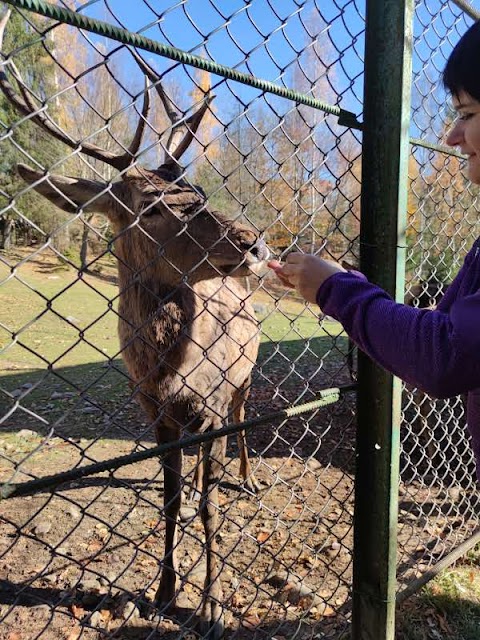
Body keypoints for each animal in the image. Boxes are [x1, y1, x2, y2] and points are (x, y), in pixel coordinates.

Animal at [0, 10, 270, 636]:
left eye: (194, 190)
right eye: (151, 205)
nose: (252, 241)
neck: (169, 373)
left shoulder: (208, 405)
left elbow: (210, 505)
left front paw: (212, 606)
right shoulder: (155, 412)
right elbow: (169, 500)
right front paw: (167, 591)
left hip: (245, 375)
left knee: (243, 419)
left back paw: (245, 476)